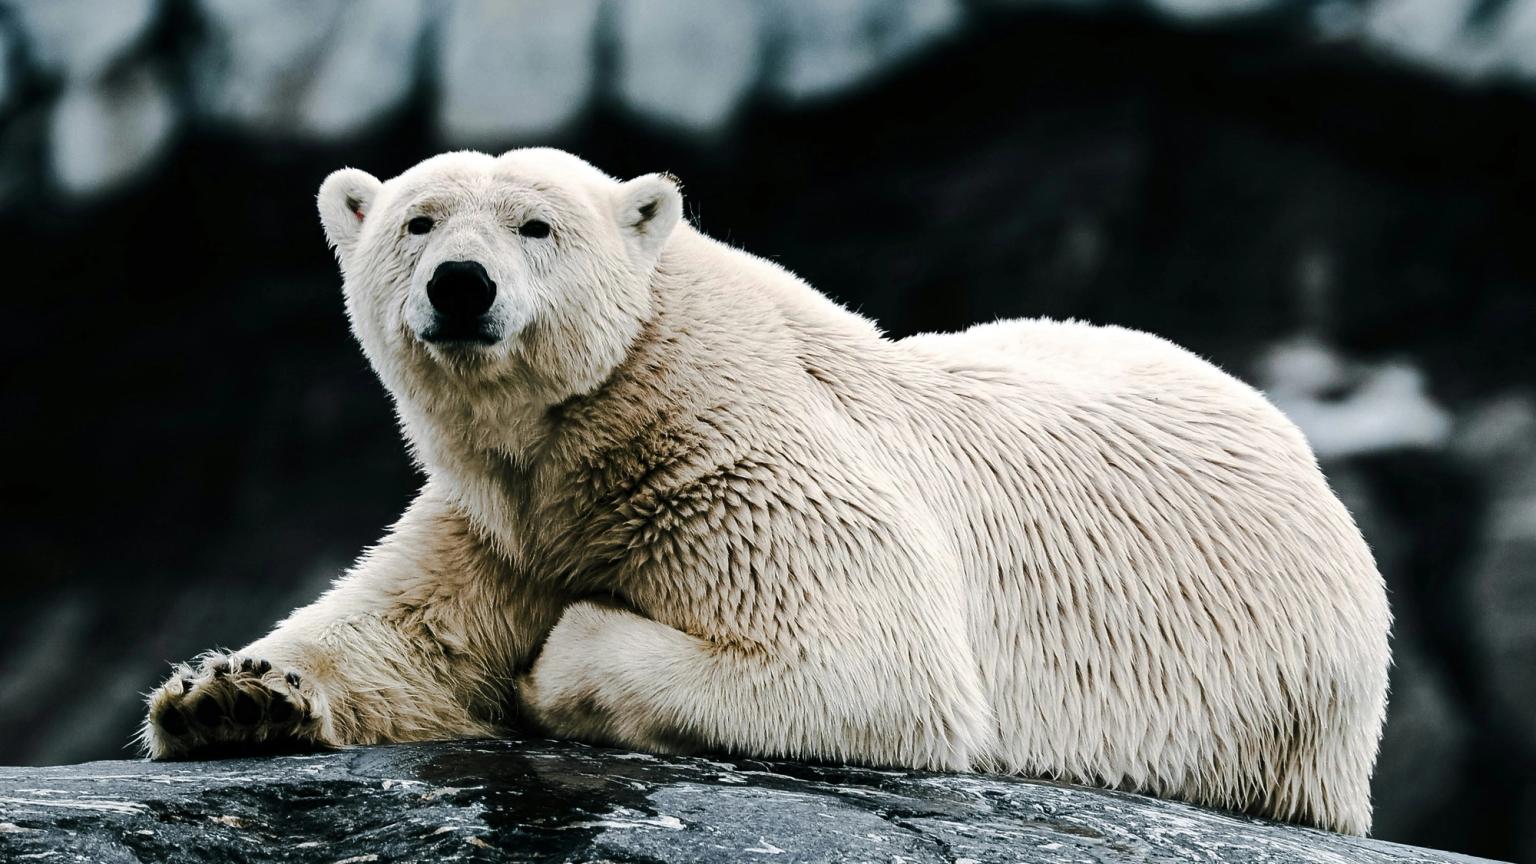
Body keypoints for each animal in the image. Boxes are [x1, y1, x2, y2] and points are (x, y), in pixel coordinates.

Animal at [141, 147, 1391, 835]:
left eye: (536, 225)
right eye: (418, 220)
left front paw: (554, 661)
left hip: (1279, 705)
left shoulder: (739, 460)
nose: (460, 284)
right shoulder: (500, 518)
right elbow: (404, 633)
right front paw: (230, 699)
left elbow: (872, 665)